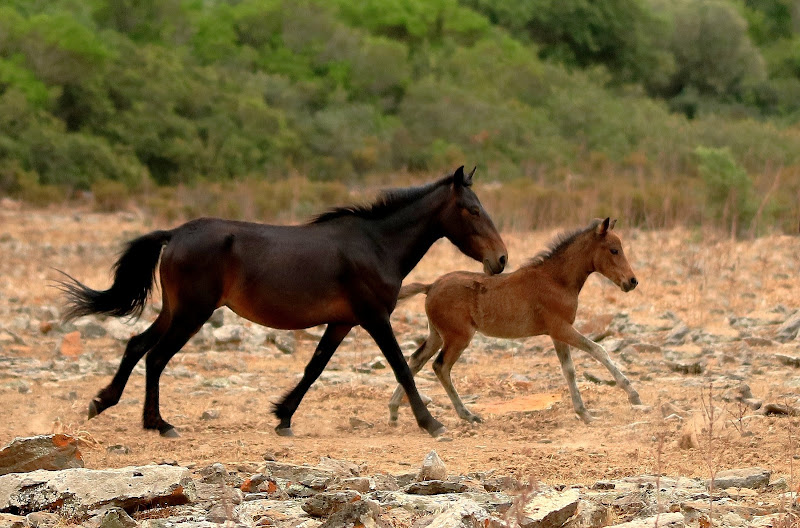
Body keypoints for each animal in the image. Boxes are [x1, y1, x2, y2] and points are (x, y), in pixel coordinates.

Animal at [59, 168, 506, 438]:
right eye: (471, 210)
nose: (500, 260)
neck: (376, 245)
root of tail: (175, 234)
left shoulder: (342, 322)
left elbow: (313, 368)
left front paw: (283, 417)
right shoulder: (374, 318)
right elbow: (401, 367)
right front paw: (431, 423)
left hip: (175, 310)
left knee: (137, 345)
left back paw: (102, 403)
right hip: (192, 313)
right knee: (155, 356)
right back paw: (159, 423)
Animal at [390, 218, 644, 424]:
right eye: (614, 250)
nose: (632, 281)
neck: (556, 279)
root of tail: (431, 286)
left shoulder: (556, 334)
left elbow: (569, 370)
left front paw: (584, 413)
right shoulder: (562, 328)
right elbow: (598, 350)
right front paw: (633, 394)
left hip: (437, 334)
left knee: (416, 360)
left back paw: (393, 410)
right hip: (457, 337)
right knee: (440, 367)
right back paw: (467, 415)